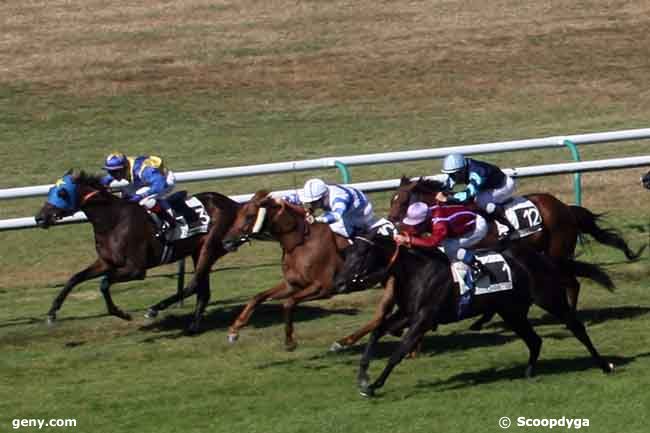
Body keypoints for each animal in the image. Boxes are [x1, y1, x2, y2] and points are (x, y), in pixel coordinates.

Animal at [34, 170, 239, 332]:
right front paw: (52, 313)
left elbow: (104, 283)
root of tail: (232, 203)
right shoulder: (106, 262)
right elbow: (74, 278)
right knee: (202, 290)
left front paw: (121, 313)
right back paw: (193, 325)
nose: (39, 217)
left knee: (194, 284)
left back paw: (155, 309)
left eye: (62, 192)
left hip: (210, 247)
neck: (113, 221)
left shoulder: (136, 270)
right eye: (50, 190)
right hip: (198, 251)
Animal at [220, 191, 350, 350]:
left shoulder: (323, 287)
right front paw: (234, 330)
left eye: (250, 216)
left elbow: (288, 303)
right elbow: (257, 297)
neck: (300, 243)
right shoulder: (292, 285)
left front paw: (289, 341)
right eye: (237, 215)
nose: (226, 242)